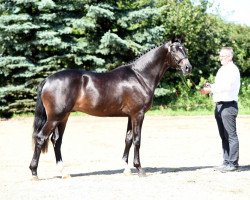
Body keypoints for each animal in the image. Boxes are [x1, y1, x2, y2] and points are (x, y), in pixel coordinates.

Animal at [29, 37, 192, 178]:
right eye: (174, 50)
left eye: (184, 49)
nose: (188, 67)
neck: (140, 76)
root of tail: (47, 80)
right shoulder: (138, 114)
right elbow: (137, 140)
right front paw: (139, 169)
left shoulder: (130, 116)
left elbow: (128, 139)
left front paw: (126, 169)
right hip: (55, 117)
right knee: (41, 138)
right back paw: (34, 172)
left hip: (63, 117)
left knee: (56, 141)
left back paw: (63, 172)